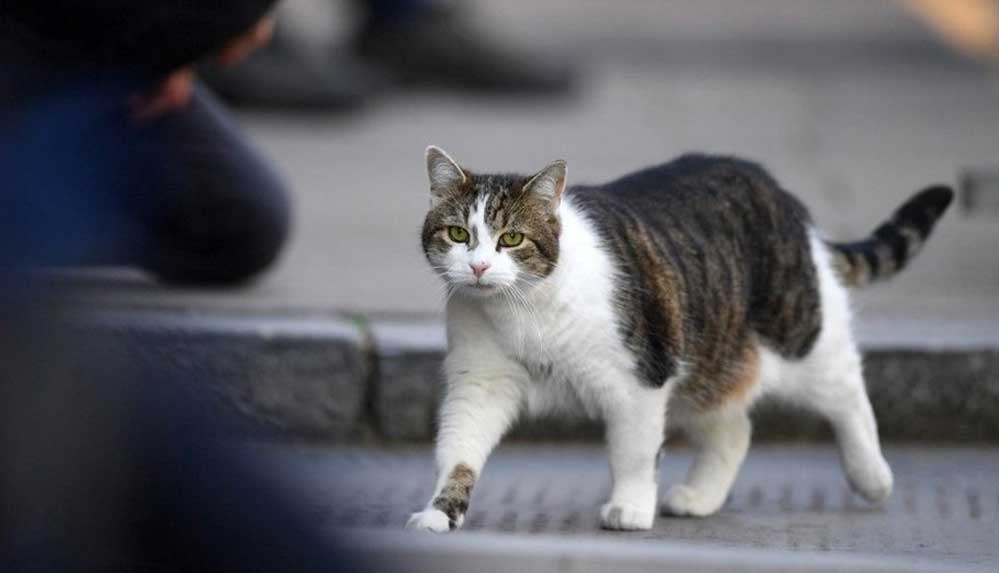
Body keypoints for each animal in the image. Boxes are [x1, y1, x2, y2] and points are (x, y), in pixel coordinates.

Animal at [406, 146, 952, 532]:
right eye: (458, 235)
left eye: (511, 239)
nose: (478, 267)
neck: (521, 309)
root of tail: (779, 193)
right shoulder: (481, 382)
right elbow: (458, 451)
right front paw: (440, 512)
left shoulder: (640, 378)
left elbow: (633, 452)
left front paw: (629, 507)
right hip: (706, 363)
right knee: (735, 430)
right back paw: (700, 498)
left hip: (798, 336)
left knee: (847, 390)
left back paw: (872, 476)